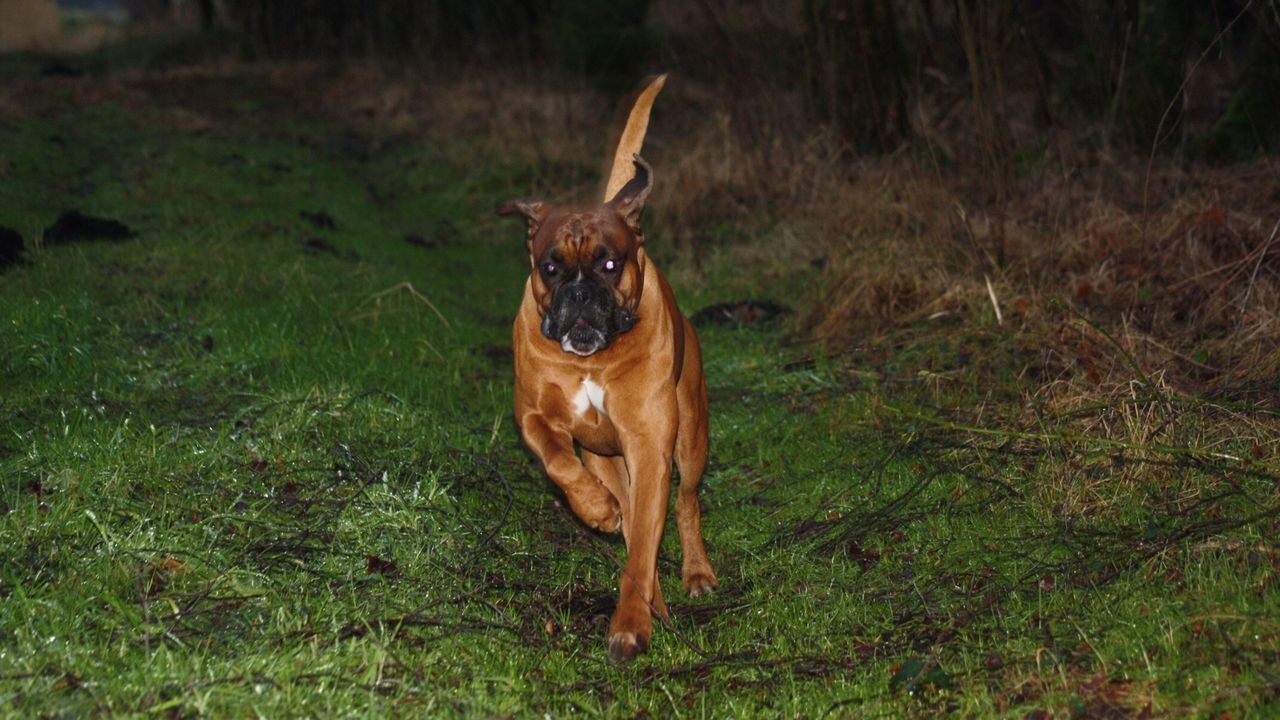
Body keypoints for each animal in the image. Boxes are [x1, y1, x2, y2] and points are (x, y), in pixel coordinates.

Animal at [499, 75, 721, 661]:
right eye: (551, 267)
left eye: (609, 263)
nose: (580, 294)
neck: (593, 359)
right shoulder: (534, 417)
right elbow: (558, 460)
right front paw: (594, 510)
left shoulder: (649, 446)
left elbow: (643, 546)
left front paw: (630, 624)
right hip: (608, 459)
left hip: (690, 442)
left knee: (686, 503)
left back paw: (695, 575)